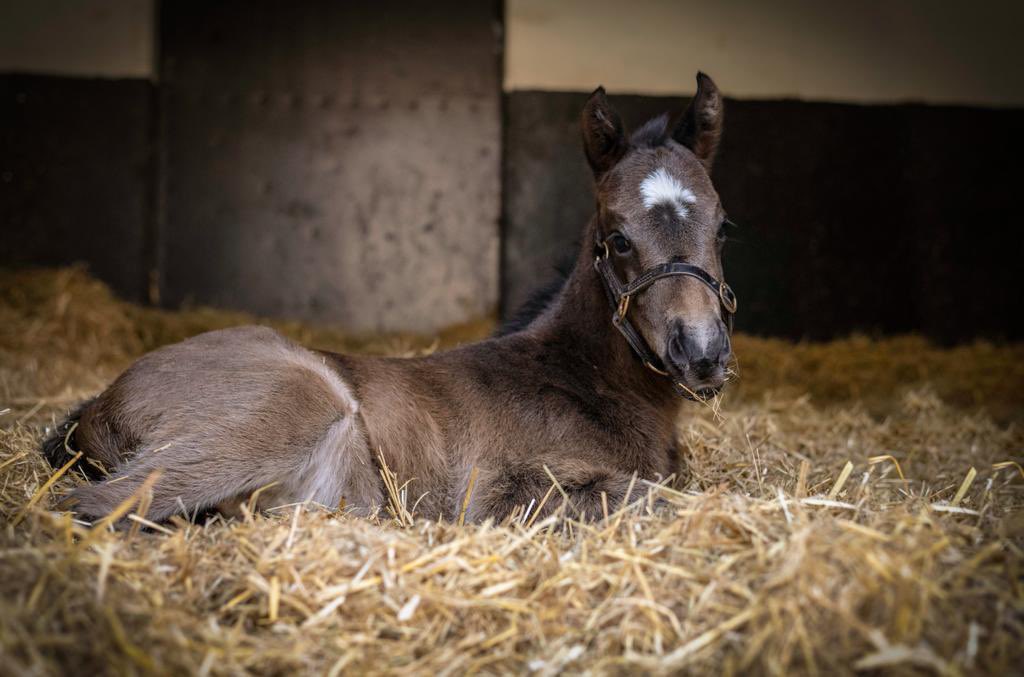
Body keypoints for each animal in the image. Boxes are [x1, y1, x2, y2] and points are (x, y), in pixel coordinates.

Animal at [41, 73, 737, 524]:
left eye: (723, 226)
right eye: (618, 239)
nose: (702, 352)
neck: (582, 380)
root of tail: (101, 403)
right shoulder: (501, 492)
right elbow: (658, 499)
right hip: (281, 411)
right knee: (91, 508)